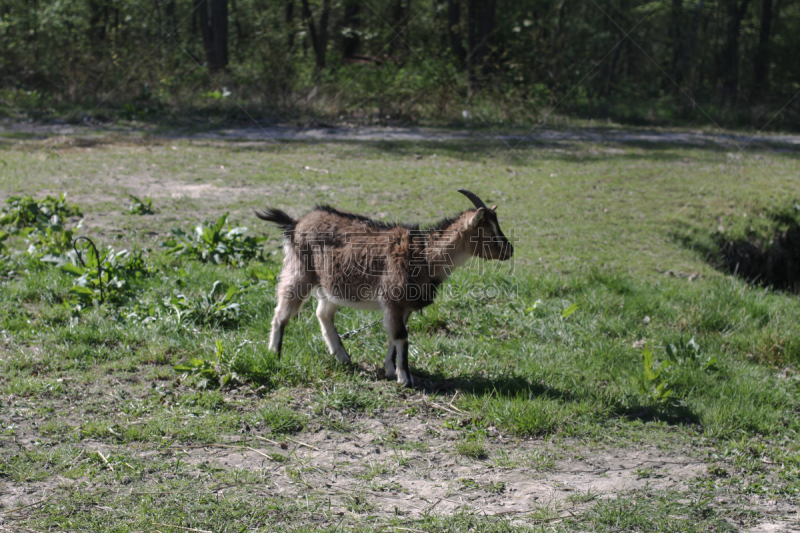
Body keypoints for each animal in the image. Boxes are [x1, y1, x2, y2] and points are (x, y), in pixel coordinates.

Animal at [256, 188, 512, 386]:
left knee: (323, 314)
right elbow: (401, 336)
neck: (424, 256)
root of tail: (295, 223)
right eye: (489, 231)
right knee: (281, 313)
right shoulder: (393, 298)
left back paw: (342, 356)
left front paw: (390, 369)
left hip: (331, 287)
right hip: (299, 272)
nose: (510, 250)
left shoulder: (402, 306)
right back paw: (275, 354)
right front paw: (405, 378)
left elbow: (393, 336)